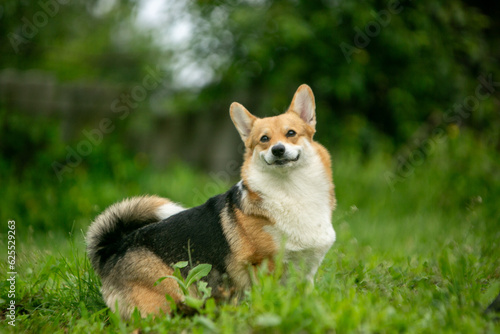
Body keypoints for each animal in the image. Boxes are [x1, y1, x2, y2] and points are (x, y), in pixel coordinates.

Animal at [86, 84, 336, 318]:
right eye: (264, 139)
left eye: (291, 133)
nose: (278, 150)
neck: (290, 191)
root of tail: (111, 250)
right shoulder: (262, 265)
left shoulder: (306, 271)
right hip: (166, 298)